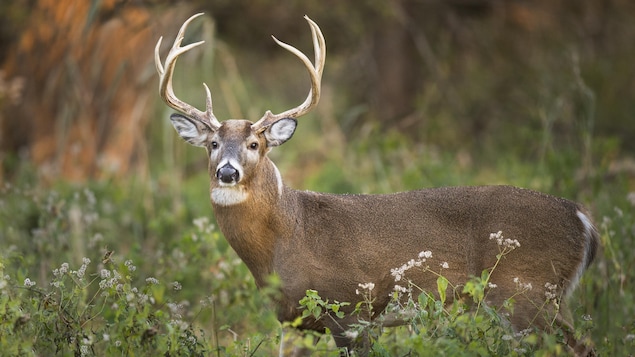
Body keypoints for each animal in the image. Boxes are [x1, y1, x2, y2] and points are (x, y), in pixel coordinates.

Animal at [157, 12, 600, 354]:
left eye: (254, 144)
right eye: (213, 144)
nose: (227, 172)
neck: (287, 235)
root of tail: (582, 219)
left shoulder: (351, 309)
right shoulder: (301, 322)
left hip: (526, 292)